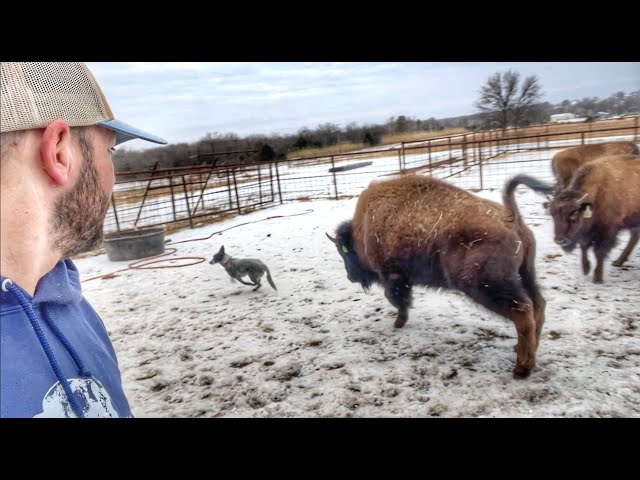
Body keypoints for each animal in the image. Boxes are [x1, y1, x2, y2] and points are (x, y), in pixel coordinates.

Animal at [328, 173, 552, 378]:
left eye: (343, 252)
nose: (350, 277)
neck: (364, 227)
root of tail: (510, 216)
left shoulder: (392, 276)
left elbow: (396, 298)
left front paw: (399, 322)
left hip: (488, 285)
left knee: (523, 312)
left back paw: (521, 368)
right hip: (526, 275)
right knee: (538, 305)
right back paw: (527, 351)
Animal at [544, 154, 640, 284]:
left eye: (574, 214)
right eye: (553, 215)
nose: (560, 241)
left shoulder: (608, 230)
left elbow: (599, 252)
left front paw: (597, 278)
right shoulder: (586, 233)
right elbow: (584, 247)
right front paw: (586, 269)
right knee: (634, 237)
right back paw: (618, 262)